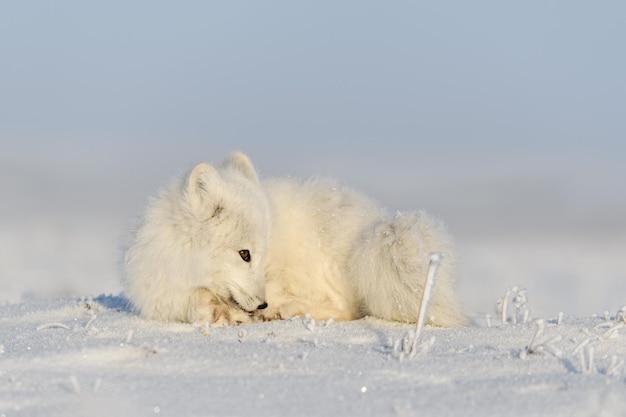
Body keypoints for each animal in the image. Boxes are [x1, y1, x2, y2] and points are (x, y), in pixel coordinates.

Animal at [122, 151, 466, 326]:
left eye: (259, 255)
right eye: (245, 254)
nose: (262, 303)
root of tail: (377, 226)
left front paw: (245, 312)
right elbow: (196, 304)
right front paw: (215, 311)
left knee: (350, 309)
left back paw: (287, 310)